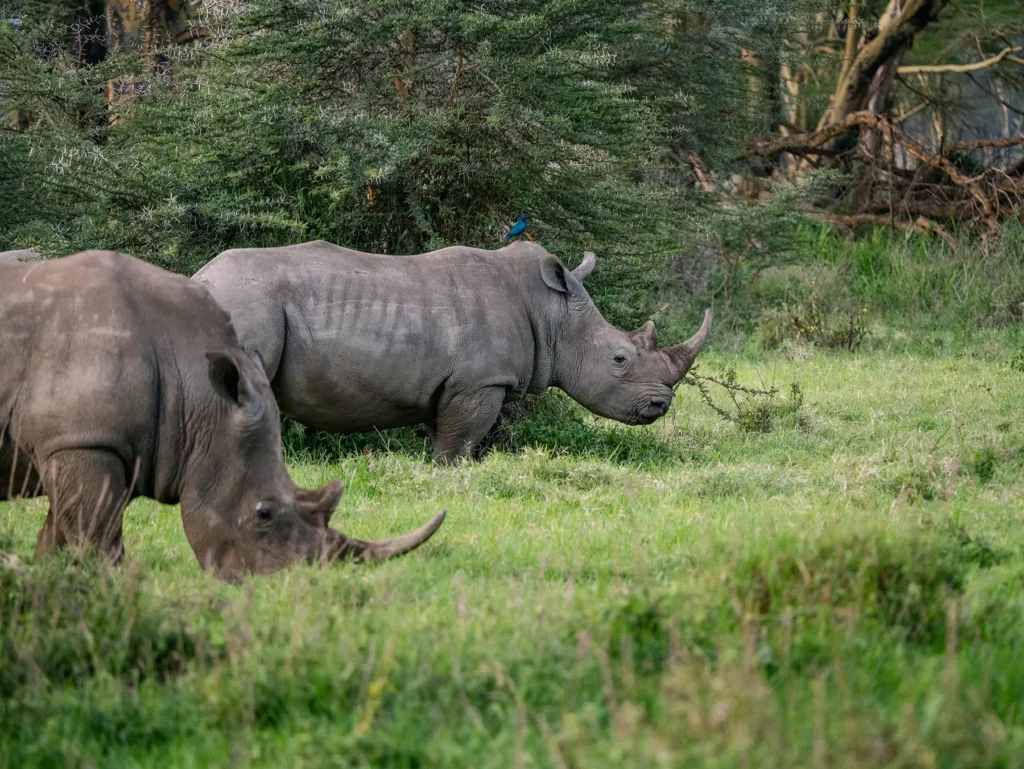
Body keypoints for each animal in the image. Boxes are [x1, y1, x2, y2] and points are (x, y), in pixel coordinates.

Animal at [0, 250, 444, 579]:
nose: (289, 582)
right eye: (264, 513)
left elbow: (60, 536)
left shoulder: (75, 444)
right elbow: (98, 541)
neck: (191, 392)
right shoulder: (82, 442)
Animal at [194, 240, 712, 463]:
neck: (553, 312)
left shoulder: (447, 384)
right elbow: (460, 440)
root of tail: (200, 276)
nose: (661, 405)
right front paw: (451, 474)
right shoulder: (480, 380)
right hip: (245, 302)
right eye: (620, 359)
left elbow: (444, 430)